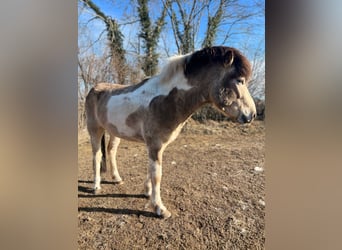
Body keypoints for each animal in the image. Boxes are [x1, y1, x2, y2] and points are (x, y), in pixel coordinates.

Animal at [85, 47, 256, 219]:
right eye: (240, 80)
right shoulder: (155, 145)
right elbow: (157, 175)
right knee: (97, 155)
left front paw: (148, 193)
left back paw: (117, 179)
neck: (167, 99)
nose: (252, 115)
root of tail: (94, 89)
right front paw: (160, 208)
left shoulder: (157, 146)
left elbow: (151, 171)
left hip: (115, 132)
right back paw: (96, 187)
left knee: (111, 151)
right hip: (95, 130)